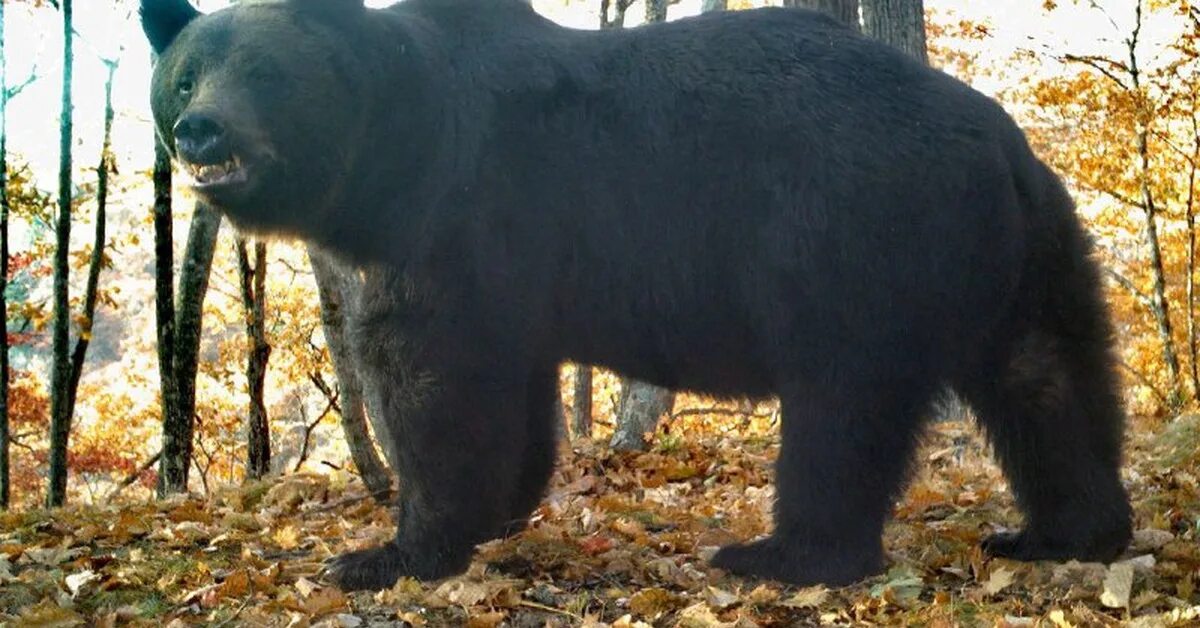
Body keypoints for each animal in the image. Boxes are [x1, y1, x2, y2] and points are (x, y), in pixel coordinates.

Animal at [140, 0, 1132, 593]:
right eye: (183, 74)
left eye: (266, 73)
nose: (199, 127)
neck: (394, 151)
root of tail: (997, 141)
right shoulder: (514, 272)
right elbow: (511, 391)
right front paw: (500, 510)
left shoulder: (461, 212)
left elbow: (434, 386)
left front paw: (389, 551)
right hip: (1026, 254)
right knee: (1049, 378)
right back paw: (1066, 531)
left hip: (850, 237)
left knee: (843, 407)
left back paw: (782, 552)